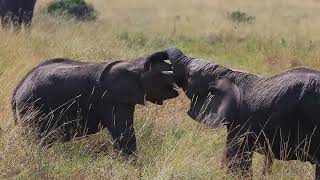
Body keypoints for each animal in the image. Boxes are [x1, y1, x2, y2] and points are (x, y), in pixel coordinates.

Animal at [11, 50, 179, 155]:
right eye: (161, 74)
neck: (134, 65)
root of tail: (18, 88)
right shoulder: (112, 99)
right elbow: (124, 132)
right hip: (32, 108)